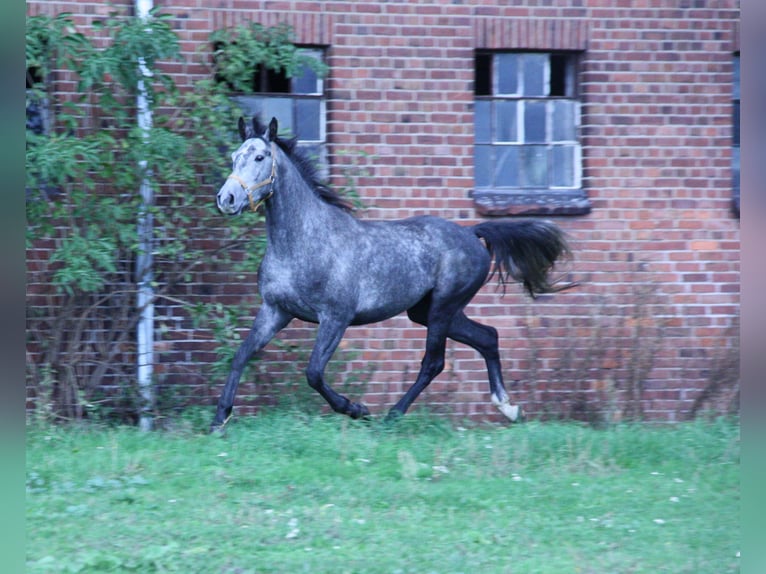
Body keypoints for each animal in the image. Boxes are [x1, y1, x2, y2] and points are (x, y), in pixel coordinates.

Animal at [213, 117, 572, 432]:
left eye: (260, 156)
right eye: (233, 156)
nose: (226, 199)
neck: (304, 241)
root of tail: (473, 233)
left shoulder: (335, 317)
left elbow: (313, 373)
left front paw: (357, 409)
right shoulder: (276, 310)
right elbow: (241, 355)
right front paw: (220, 419)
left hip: (443, 308)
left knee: (434, 362)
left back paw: (391, 417)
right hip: (427, 311)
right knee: (488, 337)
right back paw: (508, 408)